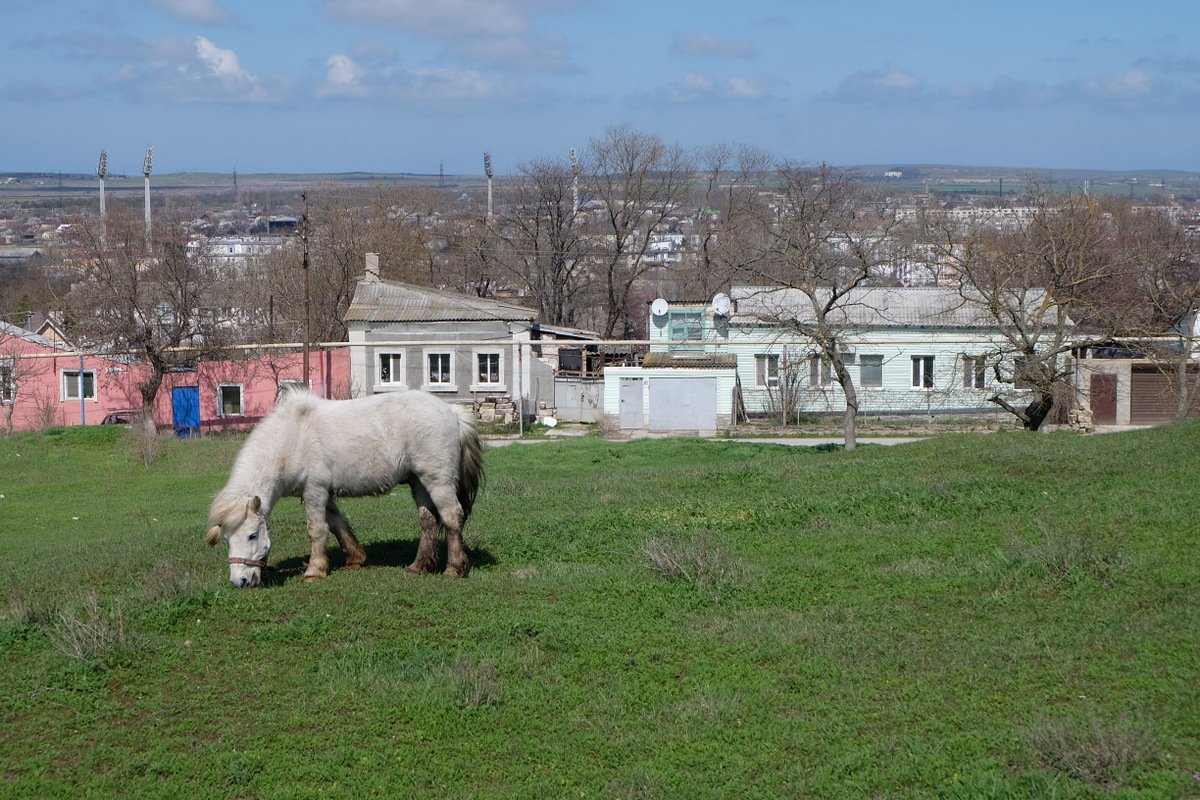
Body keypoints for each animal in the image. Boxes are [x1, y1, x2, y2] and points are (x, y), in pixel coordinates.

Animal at [206, 391, 482, 592]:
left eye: (252, 535)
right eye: (227, 540)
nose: (239, 581)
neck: (292, 439)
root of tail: (452, 412)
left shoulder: (315, 491)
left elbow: (317, 530)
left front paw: (314, 571)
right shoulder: (323, 494)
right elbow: (338, 524)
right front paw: (355, 558)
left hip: (437, 481)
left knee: (451, 517)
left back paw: (454, 568)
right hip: (418, 482)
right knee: (428, 521)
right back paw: (419, 566)